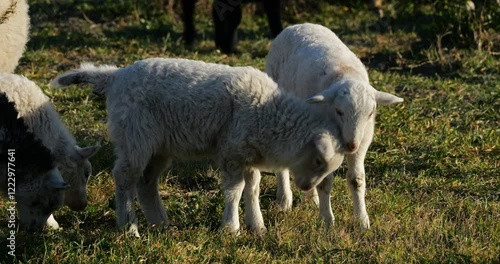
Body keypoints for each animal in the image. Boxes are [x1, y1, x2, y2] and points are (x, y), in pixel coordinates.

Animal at [52, 57, 346, 237]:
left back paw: (160, 224)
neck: (268, 111)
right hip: (135, 136)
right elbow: (235, 190)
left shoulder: (247, 154)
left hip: (159, 146)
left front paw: (258, 227)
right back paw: (130, 228)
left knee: (146, 182)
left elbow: (252, 189)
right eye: (318, 161)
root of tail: (116, 76)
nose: (306, 188)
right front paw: (231, 228)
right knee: (125, 178)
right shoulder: (231, 151)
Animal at [266, 22, 402, 229]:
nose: (351, 145)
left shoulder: (363, 140)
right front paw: (327, 221)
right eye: (339, 111)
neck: (345, 73)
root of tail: (298, 25)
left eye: (370, 113)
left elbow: (356, 180)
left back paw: (310, 199)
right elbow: (325, 182)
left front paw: (362, 221)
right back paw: (284, 200)